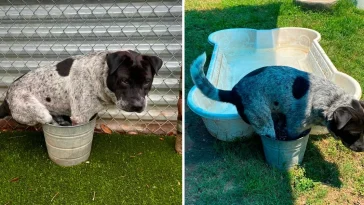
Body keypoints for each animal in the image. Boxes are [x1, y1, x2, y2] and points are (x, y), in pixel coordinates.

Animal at [0, 50, 162, 125]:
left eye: (147, 81)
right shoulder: (80, 118)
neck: (98, 75)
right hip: (38, 111)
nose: (137, 106)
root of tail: (6, 97)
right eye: (124, 81)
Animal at [191, 52, 364, 152]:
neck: (330, 101)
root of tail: (234, 92)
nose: (362, 149)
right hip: (265, 123)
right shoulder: (295, 127)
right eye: (353, 133)